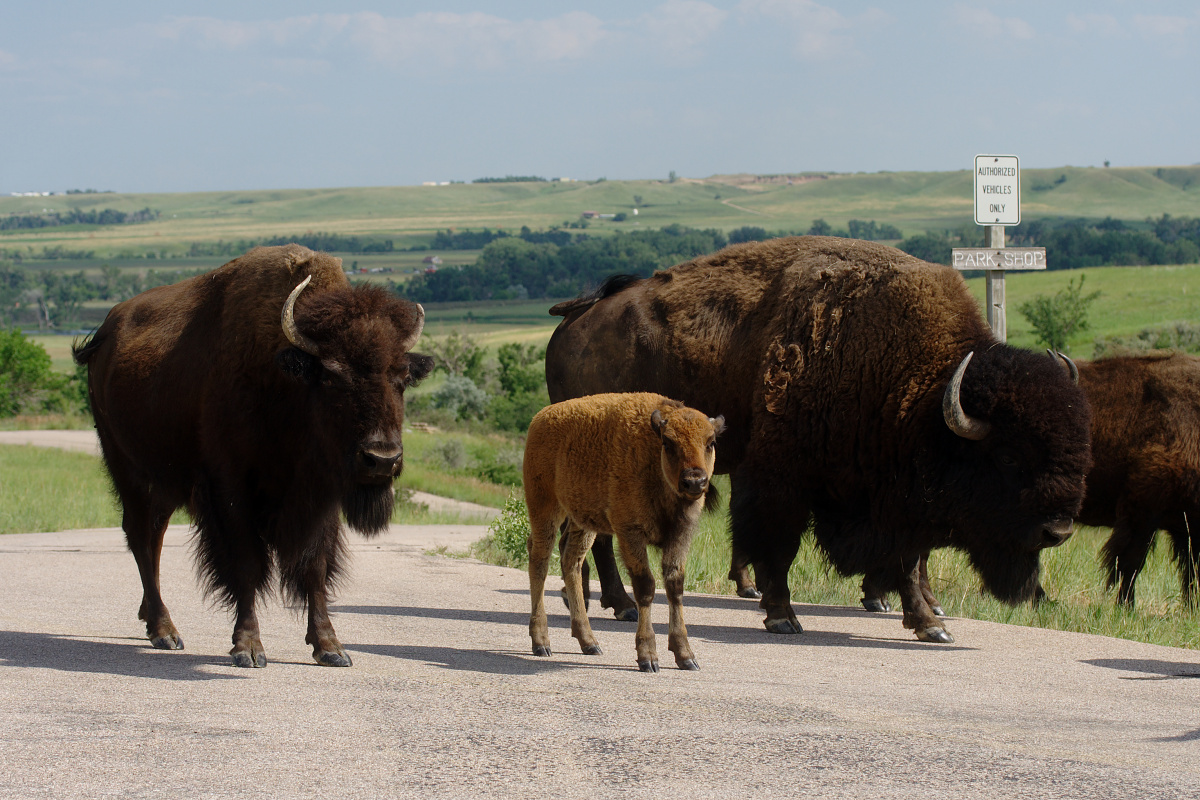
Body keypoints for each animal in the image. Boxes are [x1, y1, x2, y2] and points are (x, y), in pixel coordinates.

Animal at [73, 245, 432, 671]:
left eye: (402, 377)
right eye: (331, 376)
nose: (381, 459)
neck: (286, 381)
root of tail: (104, 336)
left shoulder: (320, 498)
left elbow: (315, 566)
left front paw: (330, 647)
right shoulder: (230, 490)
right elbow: (246, 565)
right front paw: (248, 648)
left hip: (164, 483)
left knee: (154, 538)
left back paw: (155, 622)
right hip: (127, 469)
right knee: (141, 538)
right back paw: (164, 631)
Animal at [523, 391, 720, 671]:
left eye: (711, 442)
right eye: (668, 442)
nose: (694, 481)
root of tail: (539, 419)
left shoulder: (681, 536)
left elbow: (674, 586)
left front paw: (686, 656)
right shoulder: (631, 533)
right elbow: (645, 586)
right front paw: (648, 657)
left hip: (583, 523)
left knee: (571, 561)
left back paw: (589, 642)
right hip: (545, 507)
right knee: (539, 562)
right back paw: (541, 643)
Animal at [549, 237, 1094, 642]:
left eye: (1077, 447)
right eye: (1007, 456)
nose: (1059, 530)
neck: (918, 392)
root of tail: (574, 321)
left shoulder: (898, 502)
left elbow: (909, 560)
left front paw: (930, 624)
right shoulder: (783, 479)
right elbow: (778, 545)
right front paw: (782, 617)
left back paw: (612, 602)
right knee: (595, 537)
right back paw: (621, 605)